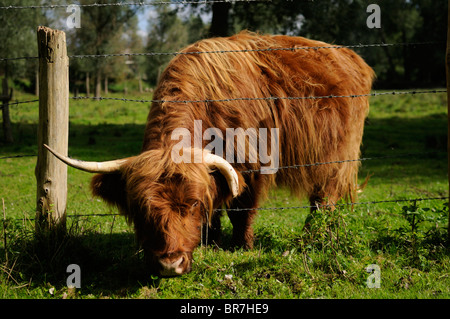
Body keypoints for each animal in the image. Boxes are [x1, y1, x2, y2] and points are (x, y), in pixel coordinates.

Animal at [46, 32, 376, 278]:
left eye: (191, 204)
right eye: (140, 207)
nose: (170, 264)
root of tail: (352, 57)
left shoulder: (251, 165)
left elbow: (240, 210)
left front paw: (242, 246)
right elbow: (215, 207)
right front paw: (210, 243)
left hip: (337, 156)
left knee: (324, 198)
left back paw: (313, 237)